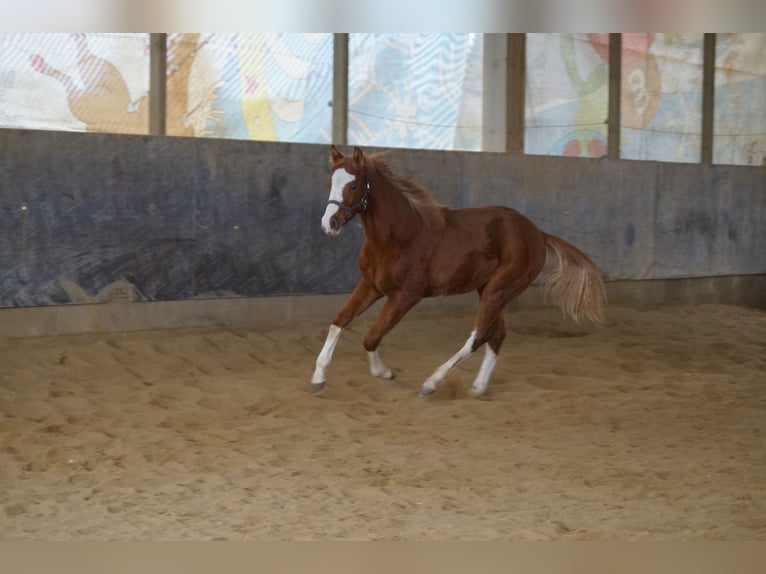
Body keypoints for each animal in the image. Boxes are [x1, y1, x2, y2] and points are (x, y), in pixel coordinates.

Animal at [312, 146, 608, 398]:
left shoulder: (407, 295)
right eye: (329, 183)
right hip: (489, 289)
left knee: (479, 335)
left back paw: (431, 383)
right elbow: (339, 321)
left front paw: (383, 372)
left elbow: (371, 336)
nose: (329, 223)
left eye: (353, 185)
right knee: (496, 335)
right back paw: (478, 387)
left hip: (500, 289)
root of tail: (536, 234)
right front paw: (318, 379)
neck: (396, 237)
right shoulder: (370, 285)